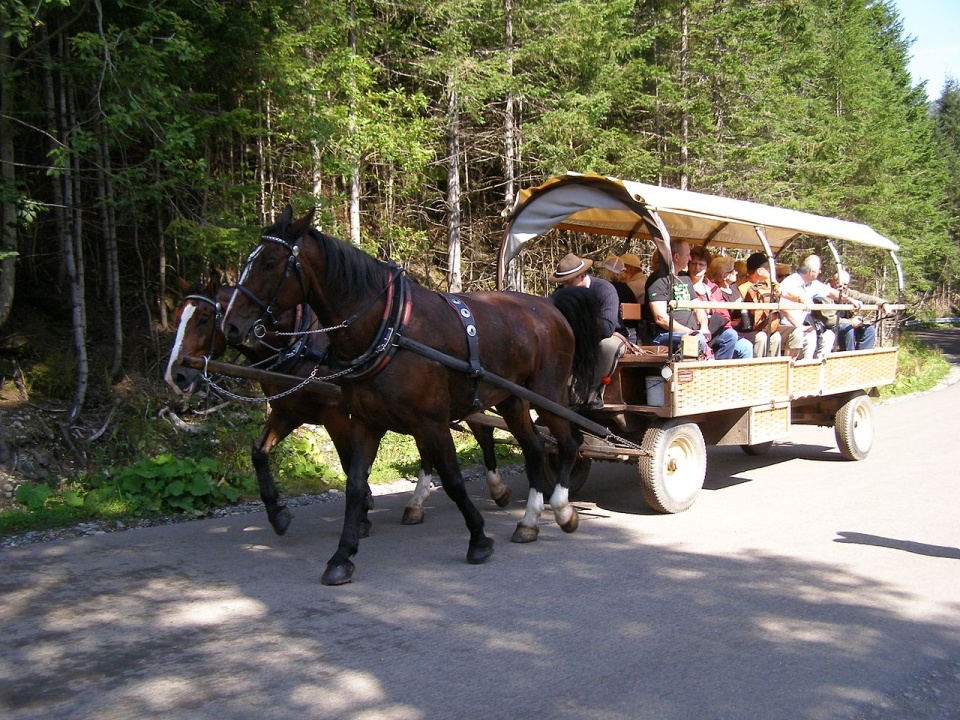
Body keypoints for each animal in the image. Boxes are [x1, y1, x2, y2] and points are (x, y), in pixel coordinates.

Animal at [167, 278, 510, 536]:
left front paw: (364, 512)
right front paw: (277, 513)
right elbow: (259, 452)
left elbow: (348, 463)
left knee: (482, 433)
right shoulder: (288, 411)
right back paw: (418, 504)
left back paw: (497, 488)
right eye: (177, 317)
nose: (176, 375)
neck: (301, 343)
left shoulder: (335, 414)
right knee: (434, 446)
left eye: (202, 318)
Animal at [224, 207, 600, 584]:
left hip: (547, 393)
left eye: (271, 263)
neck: (390, 330)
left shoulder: (431, 421)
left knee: (569, 443)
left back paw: (562, 509)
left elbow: (453, 480)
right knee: (535, 448)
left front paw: (478, 539)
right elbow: (355, 483)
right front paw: (342, 556)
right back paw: (529, 521)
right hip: (511, 399)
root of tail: (550, 308)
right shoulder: (365, 422)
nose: (231, 325)